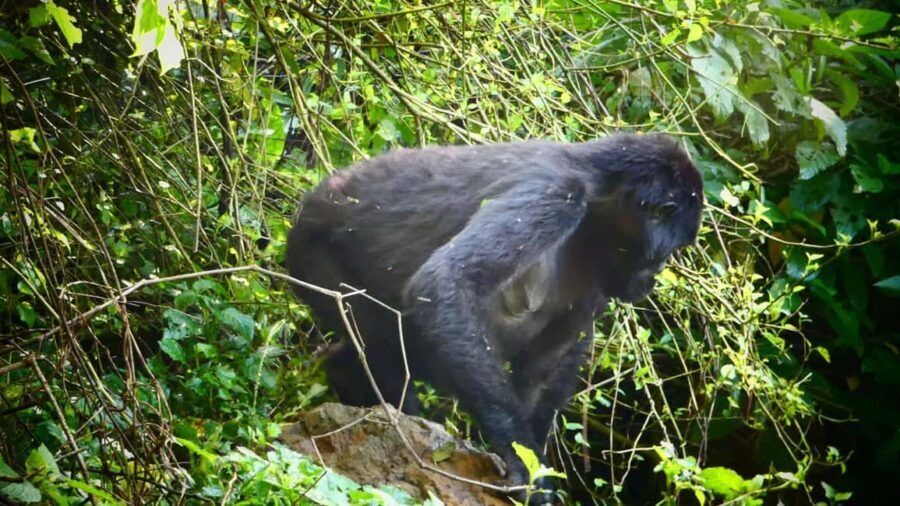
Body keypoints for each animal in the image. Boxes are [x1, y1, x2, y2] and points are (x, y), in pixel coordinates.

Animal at [285, 133, 703, 503]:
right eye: (670, 249)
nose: (653, 276)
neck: (599, 184)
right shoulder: (555, 194)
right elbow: (447, 284)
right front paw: (522, 464)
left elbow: (544, 366)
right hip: (311, 254)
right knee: (386, 345)